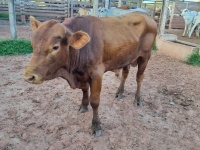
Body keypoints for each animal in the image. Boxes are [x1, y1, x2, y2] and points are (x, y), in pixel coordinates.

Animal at [23, 12, 157, 136]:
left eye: (55, 47)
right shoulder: (82, 74)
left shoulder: (97, 74)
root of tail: (146, 16)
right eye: (32, 45)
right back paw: (120, 92)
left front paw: (96, 125)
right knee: (125, 73)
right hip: (126, 57)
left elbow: (95, 101)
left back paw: (138, 99)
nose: (29, 76)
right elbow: (84, 90)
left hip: (145, 56)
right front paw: (83, 106)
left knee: (139, 77)